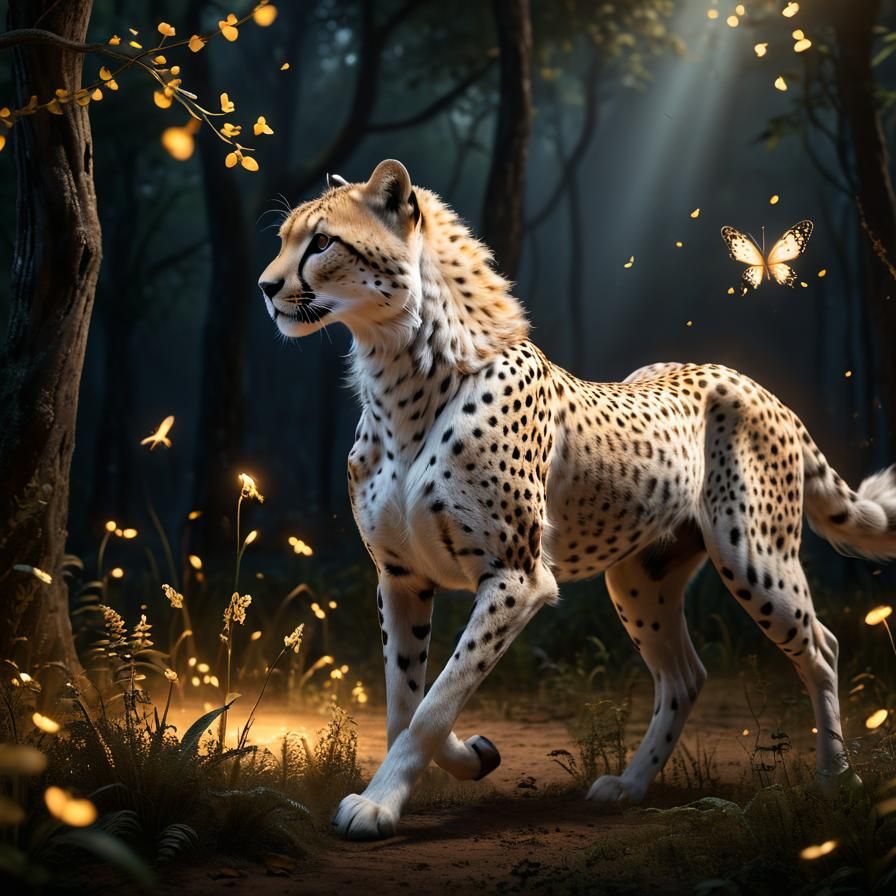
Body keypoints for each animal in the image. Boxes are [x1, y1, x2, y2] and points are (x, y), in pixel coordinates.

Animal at [258, 159, 896, 841]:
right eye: (284, 240)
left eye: (322, 243)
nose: (266, 287)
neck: (403, 372)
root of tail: (750, 381)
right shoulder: (400, 576)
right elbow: (407, 699)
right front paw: (470, 756)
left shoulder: (517, 577)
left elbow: (438, 698)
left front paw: (378, 803)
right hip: (641, 580)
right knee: (685, 675)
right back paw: (630, 785)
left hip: (755, 559)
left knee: (821, 647)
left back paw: (837, 781)